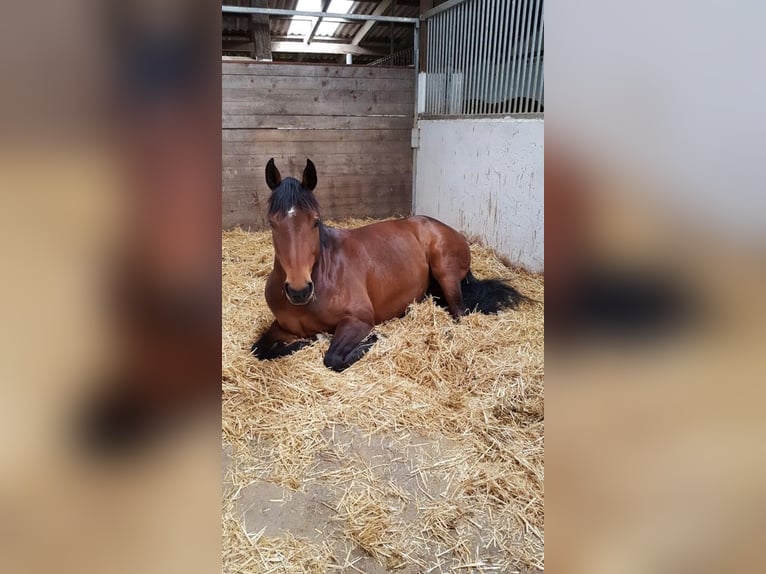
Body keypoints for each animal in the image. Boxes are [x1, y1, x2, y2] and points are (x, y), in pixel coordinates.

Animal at [252, 159, 528, 374]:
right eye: (272, 223)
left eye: (315, 221)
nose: (299, 290)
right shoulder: (281, 326)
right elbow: (258, 349)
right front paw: (306, 342)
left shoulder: (358, 320)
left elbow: (333, 358)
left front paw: (371, 339)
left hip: (445, 272)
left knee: (460, 314)